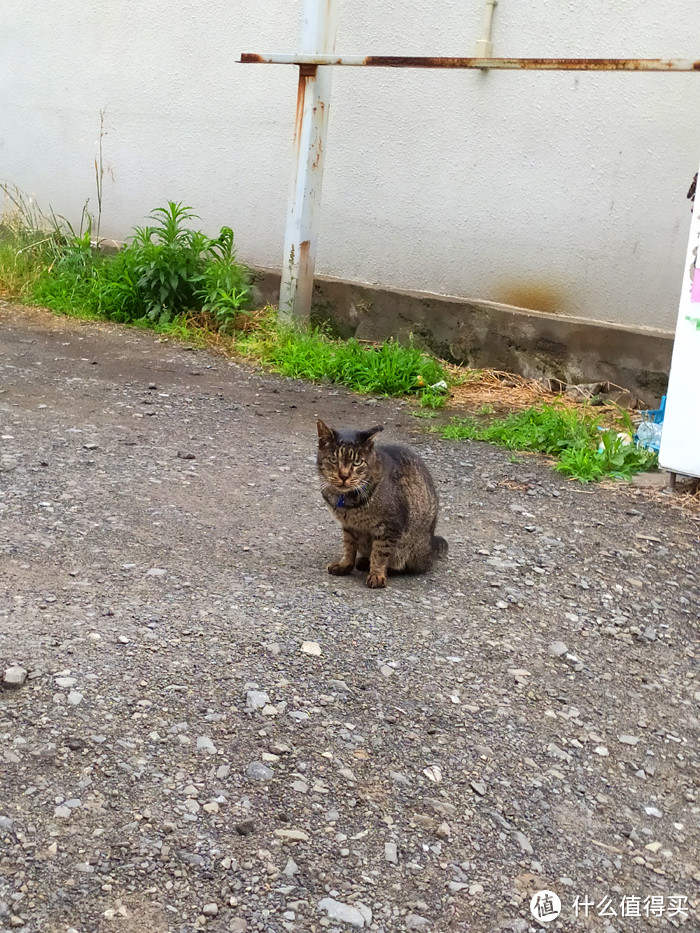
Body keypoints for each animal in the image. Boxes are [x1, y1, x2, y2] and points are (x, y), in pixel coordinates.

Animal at [318, 422, 448, 588]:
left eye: (357, 462)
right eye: (334, 459)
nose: (344, 476)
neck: (347, 500)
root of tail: (432, 544)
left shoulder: (389, 527)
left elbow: (379, 553)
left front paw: (376, 575)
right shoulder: (349, 526)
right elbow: (349, 546)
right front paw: (345, 565)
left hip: (412, 547)